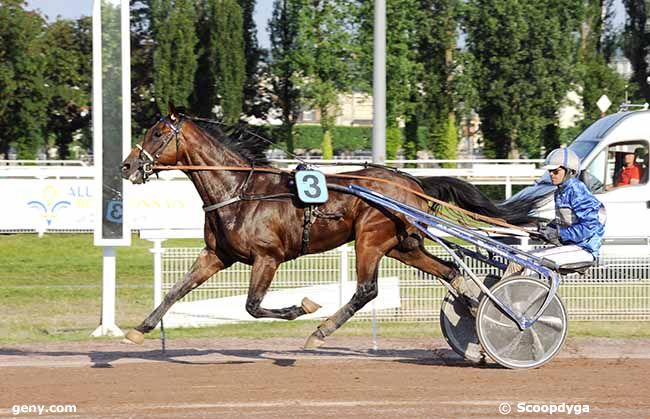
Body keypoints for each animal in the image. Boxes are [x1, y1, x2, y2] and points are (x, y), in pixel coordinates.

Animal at [119, 103, 536, 350]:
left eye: (157, 134)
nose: (127, 166)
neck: (239, 190)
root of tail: (411, 180)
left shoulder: (267, 257)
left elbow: (253, 306)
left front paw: (301, 306)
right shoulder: (216, 255)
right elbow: (176, 291)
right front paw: (139, 329)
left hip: (370, 239)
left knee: (367, 290)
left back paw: (320, 332)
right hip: (403, 245)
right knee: (450, 271)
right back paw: (479, 312)